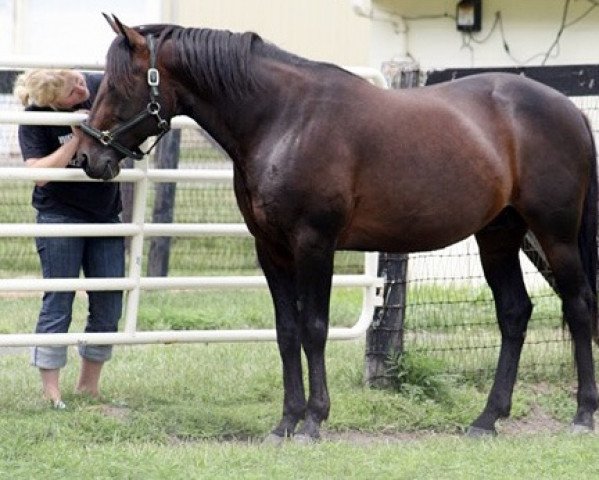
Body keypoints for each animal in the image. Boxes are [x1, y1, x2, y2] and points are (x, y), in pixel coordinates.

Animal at [77, 14, 596, 442]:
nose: (87, 158)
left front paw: (313, 421)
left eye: (119, 84)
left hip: (555, 236)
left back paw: (582, 415)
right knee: (514, 313)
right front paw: (285, 422)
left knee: (578, 307)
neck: (285, 119)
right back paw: (487, 419)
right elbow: (287, 331)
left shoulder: (315, 244)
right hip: (499, 236)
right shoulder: (271, 249)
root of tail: (570, 109)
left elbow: (314, 328)